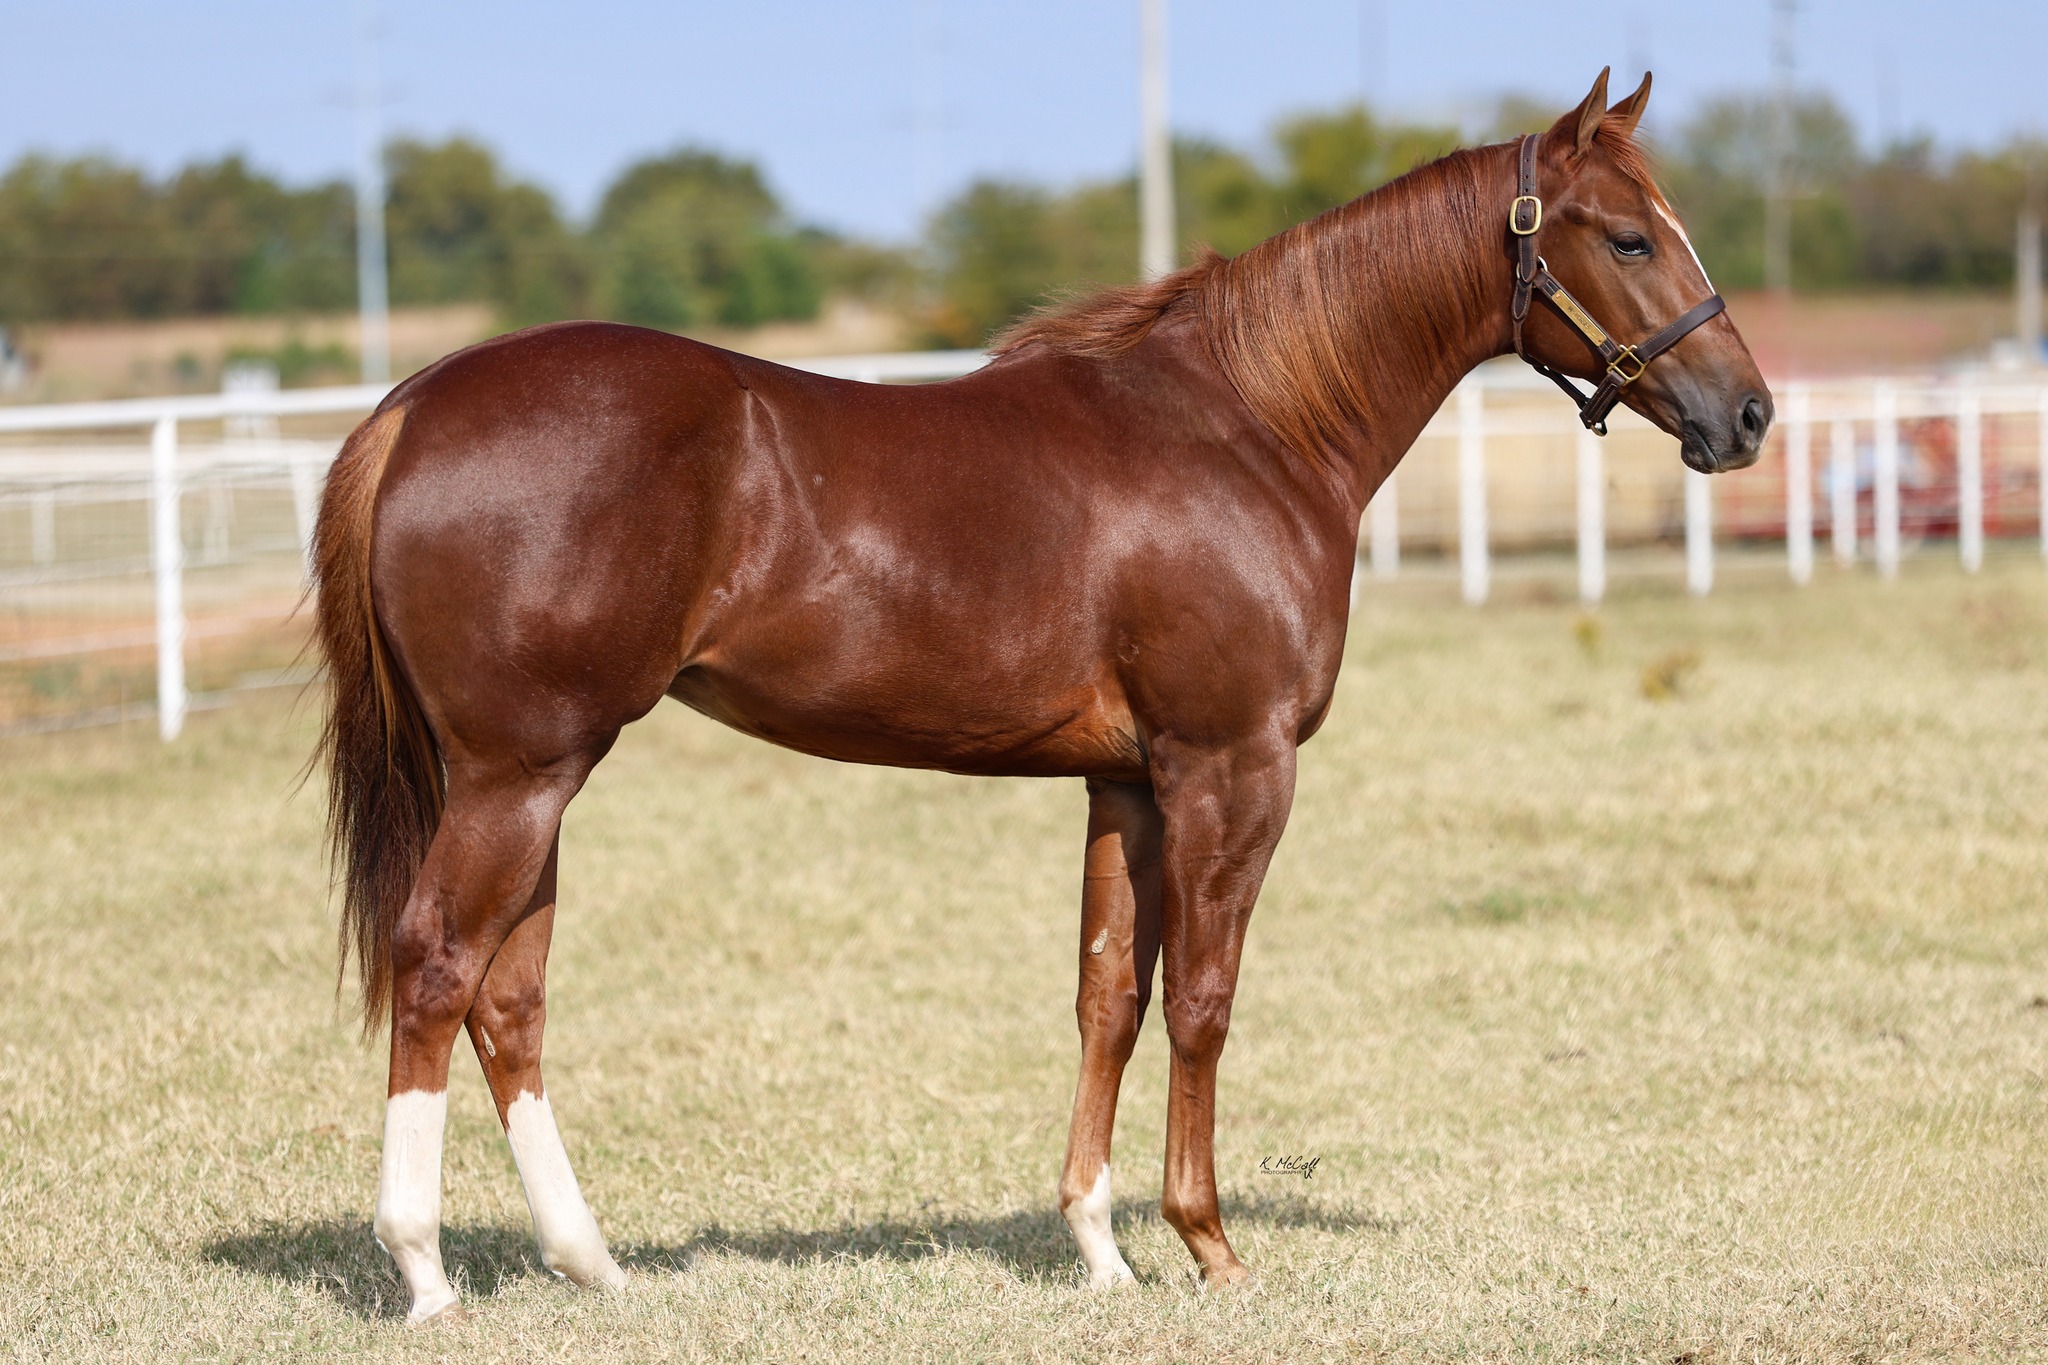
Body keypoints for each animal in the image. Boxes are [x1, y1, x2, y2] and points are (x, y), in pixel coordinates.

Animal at [312, 68, 1769, 1321]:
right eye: (1628, 238)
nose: (1747, 415)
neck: (1249, 427)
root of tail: (416, 405)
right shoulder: (1229, 767)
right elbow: (1203, 999)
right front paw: (1207, 1243)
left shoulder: (1125, 780)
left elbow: (1108, 993)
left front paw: (1097, 1242)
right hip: (518, 775)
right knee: (437, 969)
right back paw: (424, 1268)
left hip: (537, 783)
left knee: (508, 1000)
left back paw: (589, 1260)